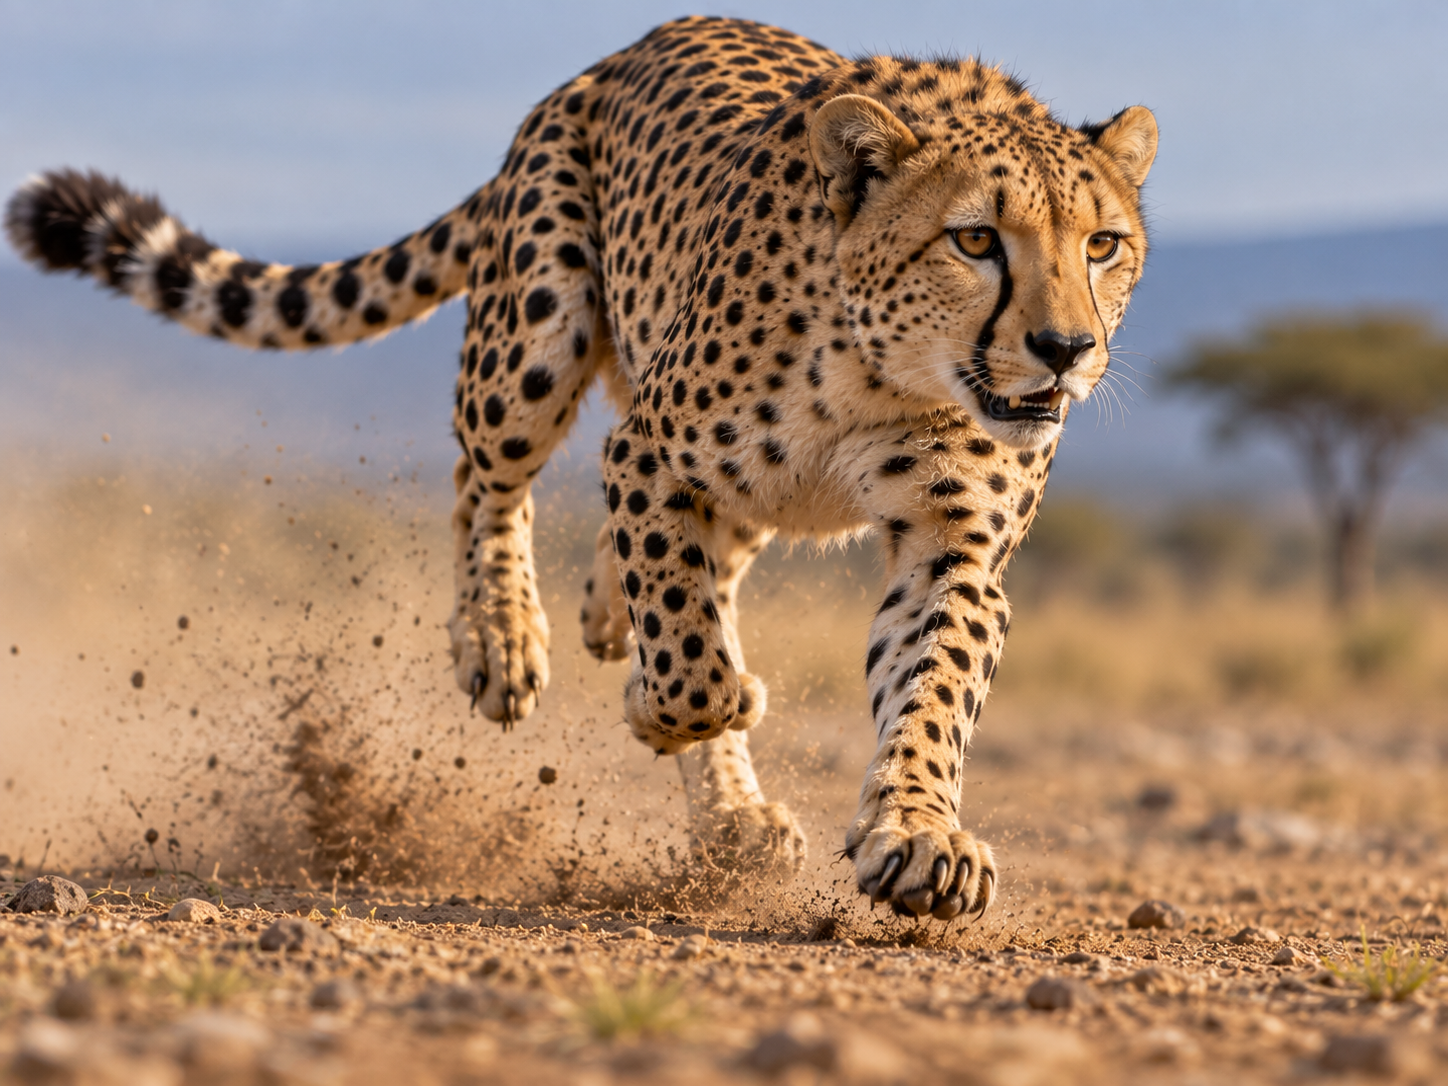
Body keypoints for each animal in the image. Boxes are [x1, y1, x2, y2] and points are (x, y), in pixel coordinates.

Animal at [5, 16, 1156, 921]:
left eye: (1100, 245)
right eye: (975, 240)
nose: (1065, 349)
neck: (890, 373)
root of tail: (614, 56)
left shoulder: (952, 548)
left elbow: (928, 692)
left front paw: (917, 838)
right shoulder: (649, 450)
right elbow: (692, 665)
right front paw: (665, 699)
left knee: (689, 562)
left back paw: (709, 779)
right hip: (535, 333)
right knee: (485, 479)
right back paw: (505, 639)